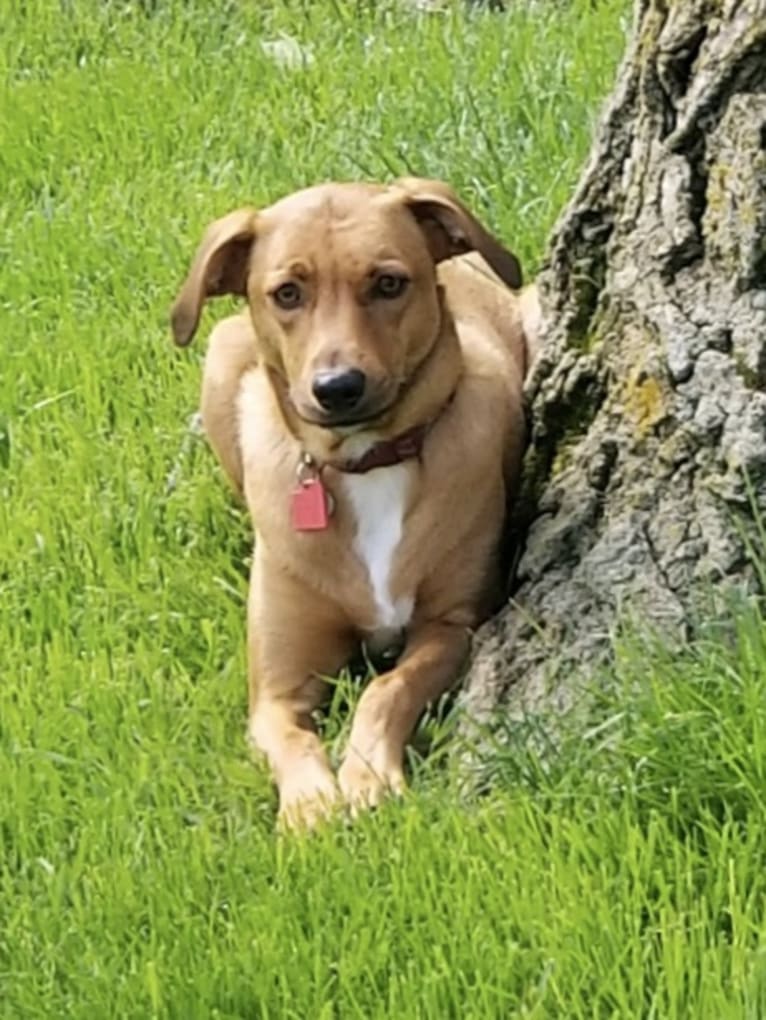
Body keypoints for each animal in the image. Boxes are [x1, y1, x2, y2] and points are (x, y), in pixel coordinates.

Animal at [169, 177, 538, 828]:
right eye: (287, 293)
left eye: (388, 283)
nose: (337, 388)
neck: (368, 463)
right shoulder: (276, 689)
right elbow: (291, 738)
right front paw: (311, 804)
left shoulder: (451, 626)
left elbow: (386, 689)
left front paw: (367, 776)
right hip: (219, 354)